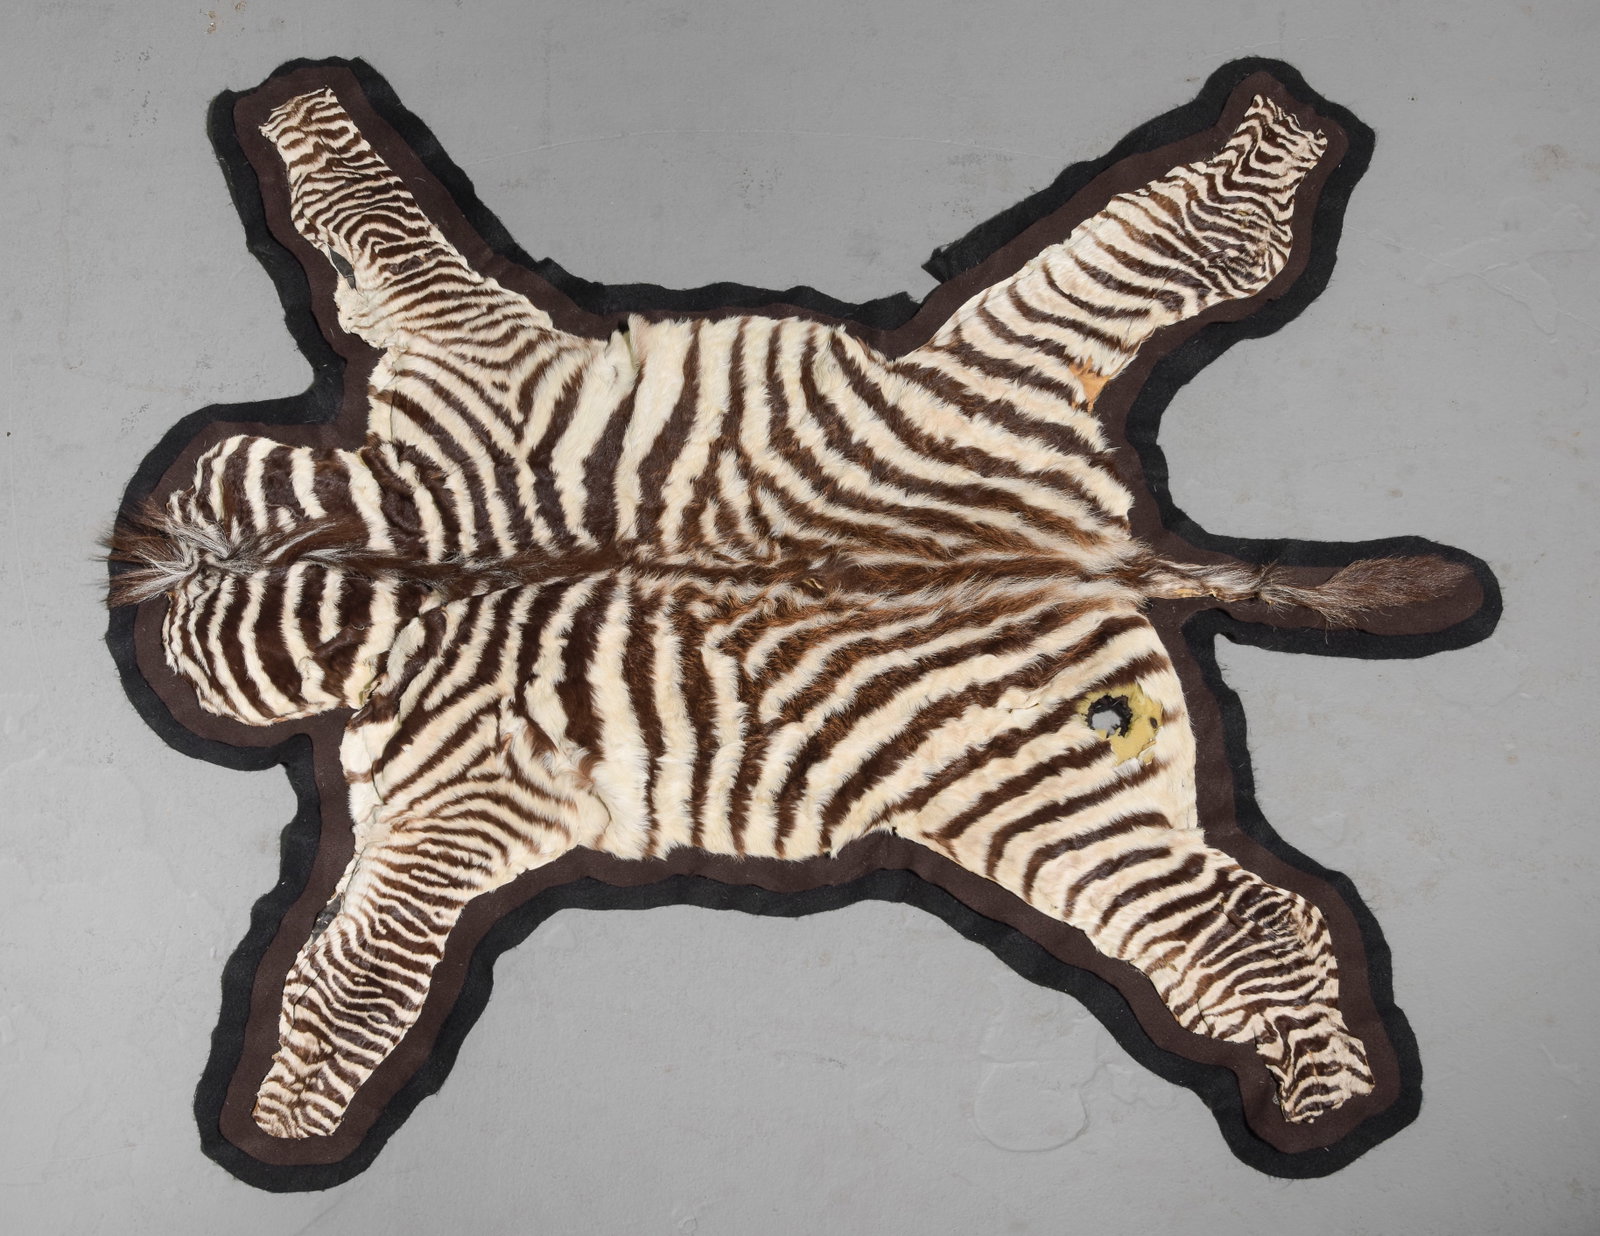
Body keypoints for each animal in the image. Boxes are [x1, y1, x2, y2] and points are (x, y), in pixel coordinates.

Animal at [109, 78, 1467, 1145]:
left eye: (194, 491)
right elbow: (360, 977)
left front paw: (280, 1116)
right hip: (1054, 775)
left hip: (999, 451)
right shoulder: (444, 801)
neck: (406, 564)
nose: (139, 558)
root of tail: (1111, 561)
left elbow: (377, 223)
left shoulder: (463, 384)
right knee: (1251, 927)